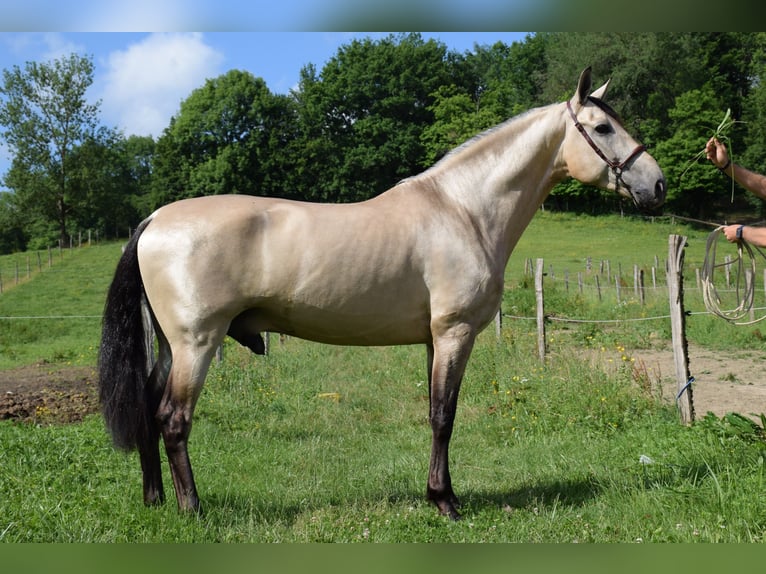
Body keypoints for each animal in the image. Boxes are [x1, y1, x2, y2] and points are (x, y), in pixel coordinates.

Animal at [100, 66, 664, 520]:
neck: (463, 210)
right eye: (602, 128)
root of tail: (155, 219)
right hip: (196, 343)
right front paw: (444, 503)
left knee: (149, 408)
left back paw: (155, 498)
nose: (656, 185)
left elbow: (436, 413)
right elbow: (444, 416)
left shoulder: (434, 339)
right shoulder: (454, 333)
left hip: (172, 346)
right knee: (173, 419)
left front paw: (441, 494)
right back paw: (192, 508)